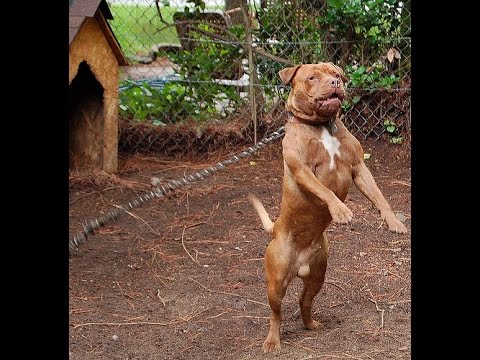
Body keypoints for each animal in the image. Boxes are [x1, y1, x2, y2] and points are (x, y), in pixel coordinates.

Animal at [248, 62, 408, 352]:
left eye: (336, 74)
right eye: (312, 77)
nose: (335, 83)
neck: (321, 125)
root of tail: (276, 230)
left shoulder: (359, 167)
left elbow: (379, 196)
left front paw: (393, 222)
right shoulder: (303, 170)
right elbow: (325, 190)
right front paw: (341, 210)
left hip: (318, 275)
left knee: (304, 301)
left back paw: (311, 324)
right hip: (275, 284)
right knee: (276, 313)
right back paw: (272, 341)